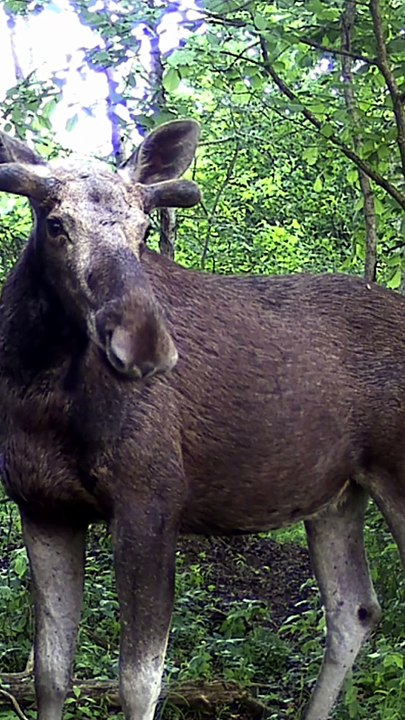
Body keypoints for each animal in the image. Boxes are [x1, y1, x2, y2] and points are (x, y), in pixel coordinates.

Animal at [0, 118, 404, 720]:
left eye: (145, 229)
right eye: (54, 224)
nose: (145, 341)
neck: (37, 392)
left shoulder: (150, 499)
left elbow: (139, 680)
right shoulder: (44, 508)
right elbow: (50, 673)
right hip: (336, 495)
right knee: (354, 609)